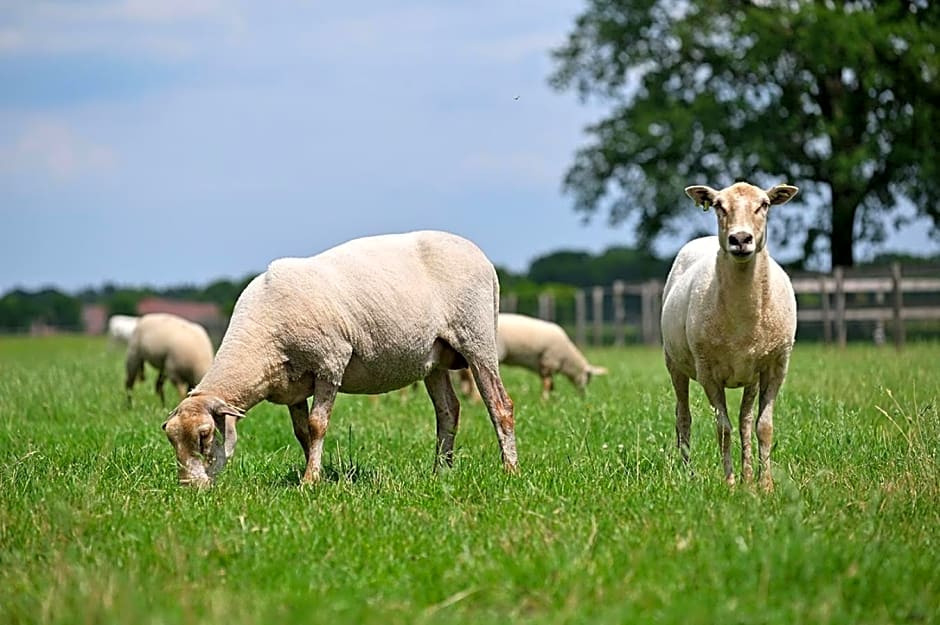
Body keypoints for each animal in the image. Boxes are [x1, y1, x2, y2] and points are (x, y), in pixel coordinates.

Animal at [160, 230, 516, 488]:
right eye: (171, 438)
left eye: (204, 435)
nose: (189, 488)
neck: (260, 344)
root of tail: (483, 260)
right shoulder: (292, 384)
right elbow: (302, 432)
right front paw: (316, 471)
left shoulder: (330, 361)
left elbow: (317, 425)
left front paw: (310, 481)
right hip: (435, 357)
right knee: (448, 411)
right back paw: (440, 472)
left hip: (477, 338)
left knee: (500, 406)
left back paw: (510, 471)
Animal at [660, 178, 800, 490]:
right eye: (718, 206)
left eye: (764, 205)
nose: (740, 239)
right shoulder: (708, 372)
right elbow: (723, 429)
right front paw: (730, 483)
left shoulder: (777, 366)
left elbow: (764, 427)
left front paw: (763, 485)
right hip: (674, 363)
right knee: (683, 417)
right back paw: (688, 473)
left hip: (750, 375)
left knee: (746, 421)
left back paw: (748, 476)